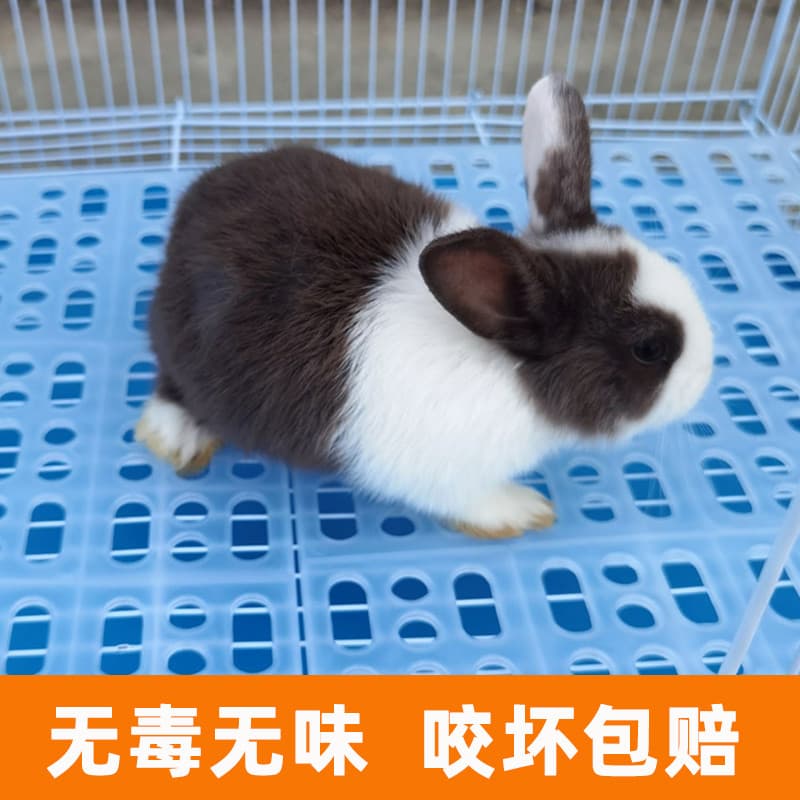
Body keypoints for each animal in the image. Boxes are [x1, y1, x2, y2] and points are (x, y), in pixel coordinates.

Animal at [136, 73, 713, 539]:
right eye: (648, 348)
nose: (708, 370)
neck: (510, 374)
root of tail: (190, 207)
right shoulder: (442, 476)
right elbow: (472, 500)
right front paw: (524, 512)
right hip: (187, 348)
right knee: (172, 386)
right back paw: (177, 436)